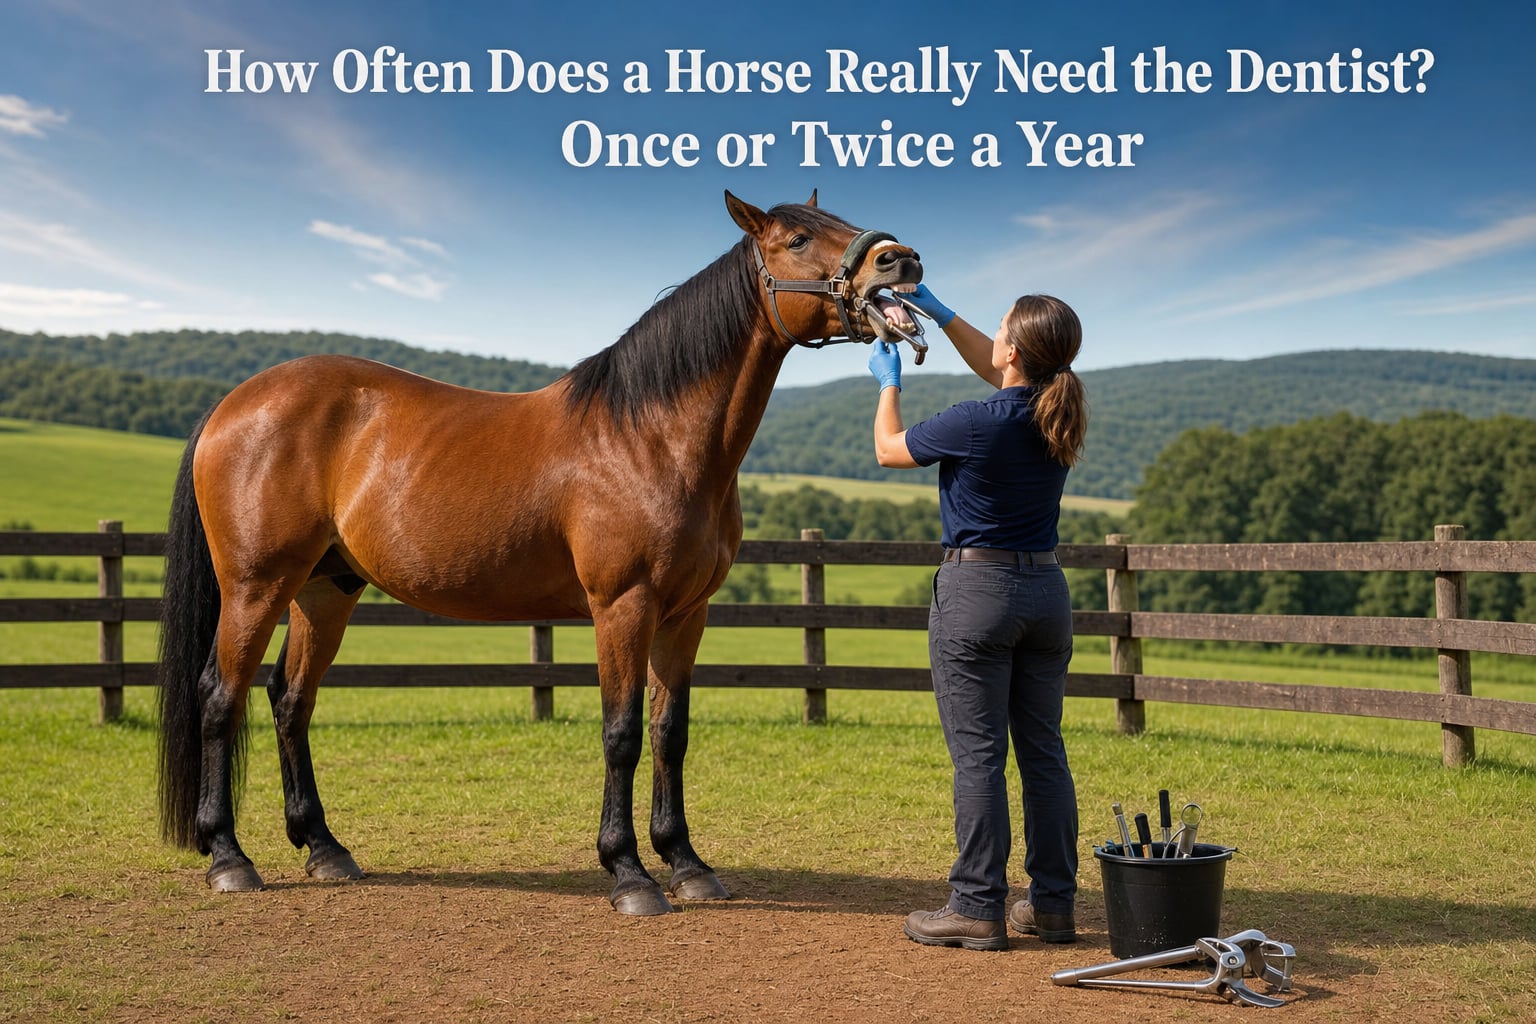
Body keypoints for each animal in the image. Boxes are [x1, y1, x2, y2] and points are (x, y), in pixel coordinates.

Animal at [156, 191, 925, 915]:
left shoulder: (685, 615)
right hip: (256, 586)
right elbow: (621, 733)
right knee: (220, 697)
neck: (650, 435)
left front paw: (687, 864)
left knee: (291, 701)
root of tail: (231, 405)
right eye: (795, 239)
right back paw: (229, 858)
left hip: (325, 590)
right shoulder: (623, 607)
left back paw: (324, 848)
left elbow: (668, 731)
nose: (902, 260)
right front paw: (628, 873)